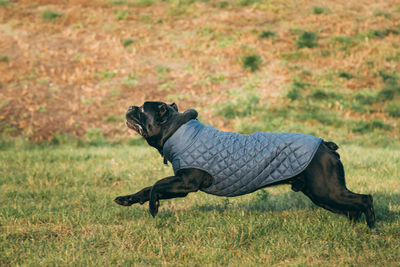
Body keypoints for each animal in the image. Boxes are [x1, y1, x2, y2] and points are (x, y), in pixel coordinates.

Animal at [115, 101, 376, 229]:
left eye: (142, 110)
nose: (129, 107)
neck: (176, 130)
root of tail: (326, 145)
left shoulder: (186, 183)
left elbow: (156, 185)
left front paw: (154, 207)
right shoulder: (180, 183)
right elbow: (147, 188)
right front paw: (127, 199)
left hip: (326, 190)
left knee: (365, 199)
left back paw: (372, 228)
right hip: (321, 194)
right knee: (353, 207)